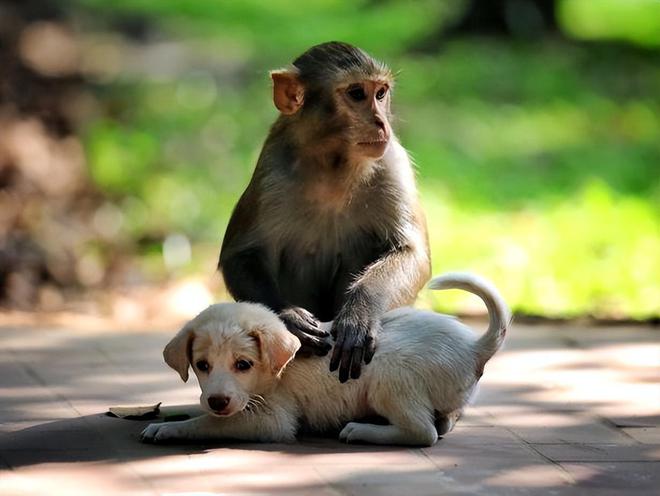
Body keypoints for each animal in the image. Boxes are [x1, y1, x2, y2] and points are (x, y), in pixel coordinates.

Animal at [141, 274, 510, 448]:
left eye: (243, 364)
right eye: (201, 366)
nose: (218, 401)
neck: (274, 373)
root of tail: (476, 347)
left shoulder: (272, 420)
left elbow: (209, 423)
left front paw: (167, 428)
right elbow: (206, 415)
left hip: (389, 378)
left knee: (423, 432)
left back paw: (361, 430)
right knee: (441, 422)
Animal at [219, 41, 430, 384]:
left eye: (380, 93)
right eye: (356, 93)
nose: (381, 123)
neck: (333, 163)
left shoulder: (392, 162)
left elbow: (410, 251)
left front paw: (359, 315)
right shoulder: (271, 171)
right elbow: (240, 256)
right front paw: (289, 318)